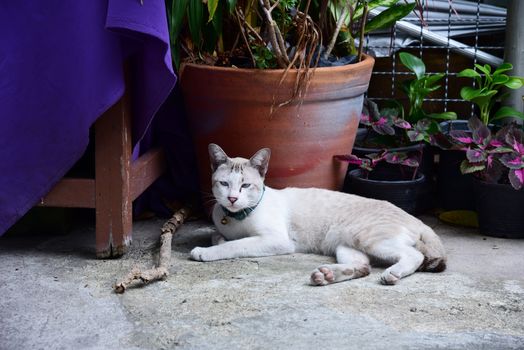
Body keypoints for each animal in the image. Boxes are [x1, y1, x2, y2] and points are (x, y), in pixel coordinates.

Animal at [190, 144, 448, 286]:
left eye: (245, 186)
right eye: (224, 184)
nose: (232, 198)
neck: (236, 218)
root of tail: (416, 219)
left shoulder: (275, 240)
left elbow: (234, 245)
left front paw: (205, 252)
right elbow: (219, 238)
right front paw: (219, 240)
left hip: (368, 238)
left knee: (414, 255)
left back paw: (392, 274)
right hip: (345, 244)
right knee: (363, 267)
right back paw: (326, 276)